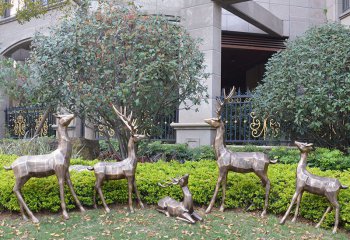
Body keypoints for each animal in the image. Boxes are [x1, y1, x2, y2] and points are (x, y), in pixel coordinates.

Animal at [205, 87, 276, 217]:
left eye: (214, 119)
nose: (205, 120)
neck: (220, 153)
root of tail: (269, 160)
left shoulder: (222, 167)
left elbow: (218, 184)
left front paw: (208, 209)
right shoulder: (227, 169)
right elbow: (224, 185)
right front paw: (222, 208)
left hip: (259, 170)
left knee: (268, 183)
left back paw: (263, 212)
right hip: (263, 171)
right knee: (264, 184)